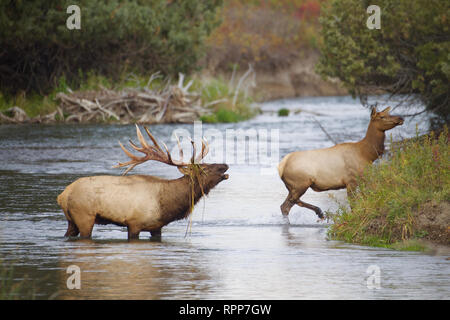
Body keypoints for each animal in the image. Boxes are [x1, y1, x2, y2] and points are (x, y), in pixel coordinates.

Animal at [56, 125, 230, 240]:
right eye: (204, 168)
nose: (225, 165)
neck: (167, 204)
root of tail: (63, 195)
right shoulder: (134, 223)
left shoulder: (157, 227)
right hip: (84, 217)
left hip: (71, 221)